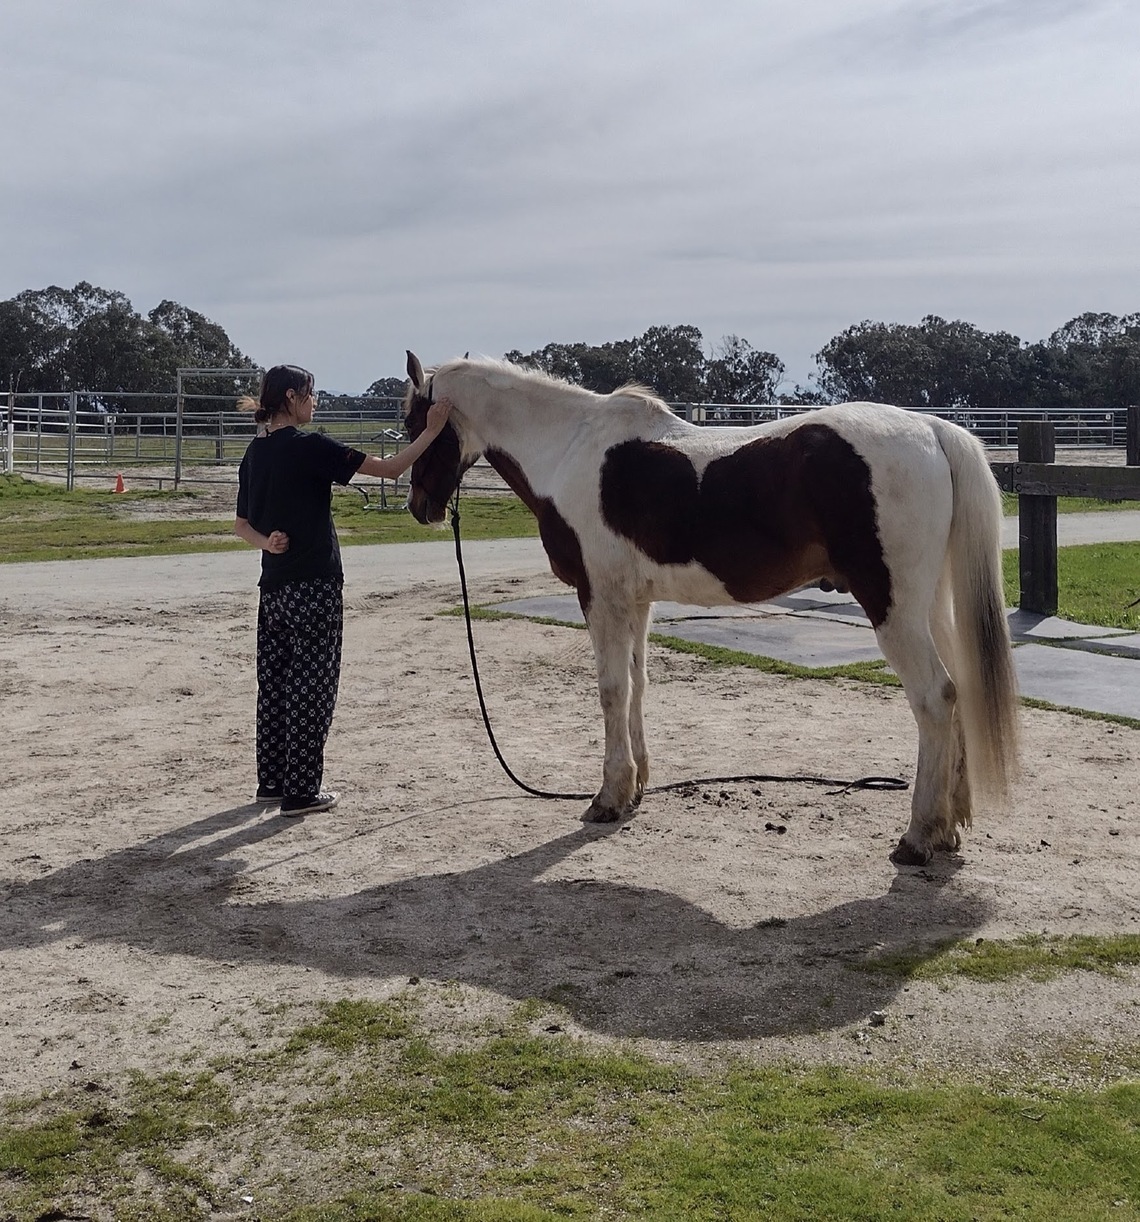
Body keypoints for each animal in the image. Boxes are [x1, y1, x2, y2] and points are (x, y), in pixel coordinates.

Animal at [405, 351, 1016, 870]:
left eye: (414, 426)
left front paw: (607, 797)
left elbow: (610, 690)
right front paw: (636, 788)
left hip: (893, 609)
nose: (419, 507)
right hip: (927, 605)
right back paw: (949, 829)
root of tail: (932, 430)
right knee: (957, 691)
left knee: (934, 698)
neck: (569, 449)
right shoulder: (635, 601)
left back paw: (918, 838)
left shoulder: (599, 597)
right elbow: (638, 684)